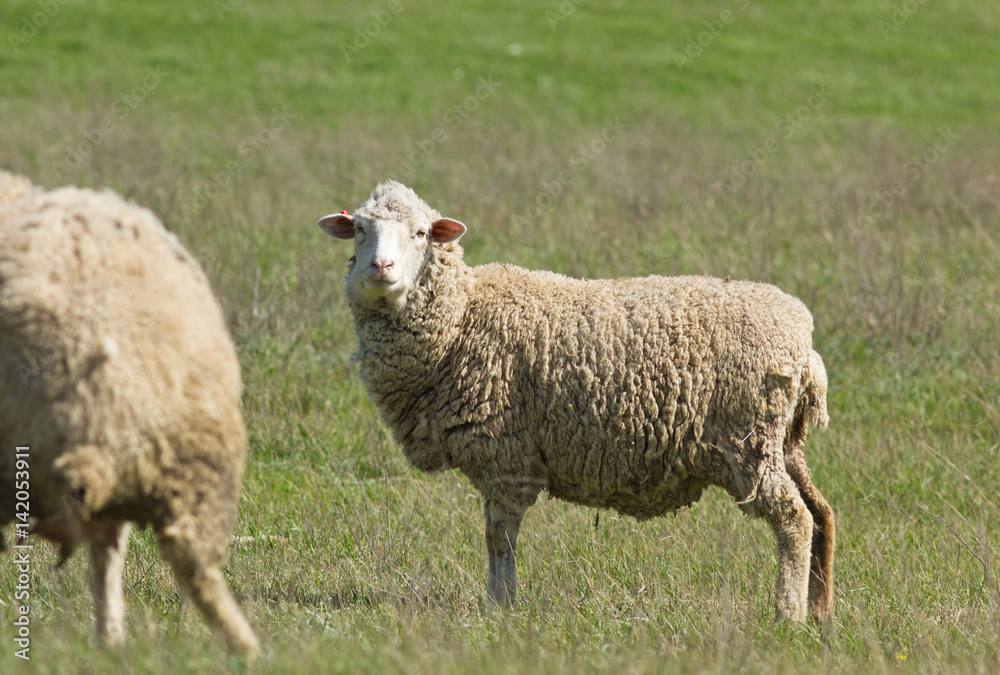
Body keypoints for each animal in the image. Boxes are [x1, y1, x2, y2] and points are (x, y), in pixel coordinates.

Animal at [320, 181, 836, 624]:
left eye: (422, 233)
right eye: (360, 229)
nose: (380, 269)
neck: (462, 320)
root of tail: (804, 343)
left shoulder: (506, 455)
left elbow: (499, 538)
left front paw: (500, 607)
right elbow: (495, 538)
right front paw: (498, 603)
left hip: (747, 441)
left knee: (793, 519)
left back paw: (788, 615)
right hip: (781, 443)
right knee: (821, 513)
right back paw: (821, 611)